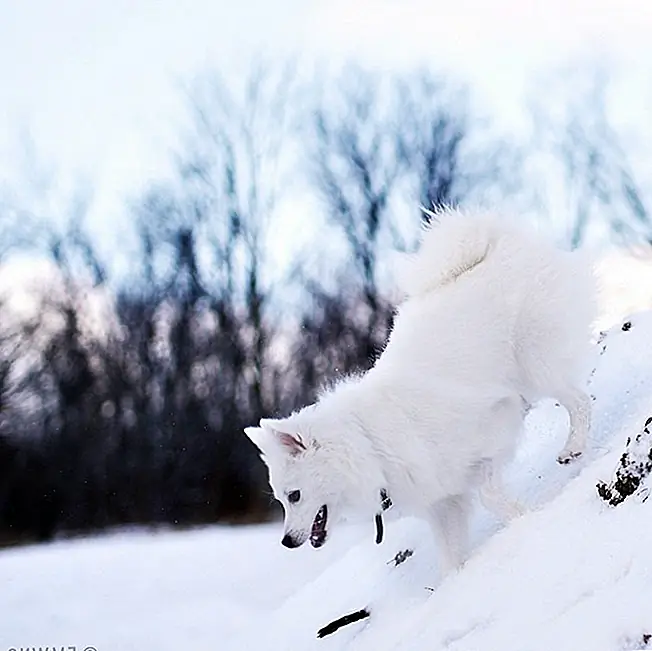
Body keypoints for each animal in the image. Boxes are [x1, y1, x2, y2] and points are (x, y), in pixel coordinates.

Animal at [244, 209, 596, 576]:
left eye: (294, 495)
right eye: (281, 500)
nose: (286, 542)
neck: (370, 446)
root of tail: (499, 239)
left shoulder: (494, 429)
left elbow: (489, 495)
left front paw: (525, 519)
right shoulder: (443, 502)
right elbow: (451, 558)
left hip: (536, 361)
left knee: (579, 400)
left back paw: (573, 447)